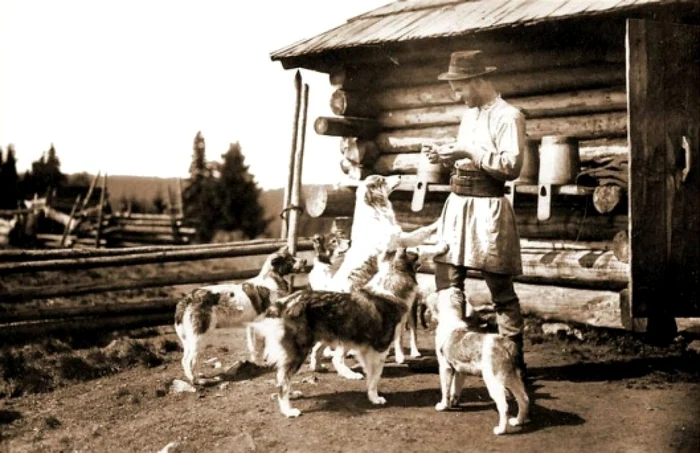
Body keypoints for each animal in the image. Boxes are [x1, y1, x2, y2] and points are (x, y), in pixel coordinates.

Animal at [173, 245, 304, 384]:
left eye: (292, 257)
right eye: (289, 260)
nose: (305, 261)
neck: (271, 280)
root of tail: (187, 299)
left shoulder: (251, 326)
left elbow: (253, 347)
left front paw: (258, 363)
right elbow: (260, 346)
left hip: (190, 339)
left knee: (186, 359)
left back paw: (197, 377)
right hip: (200, 336)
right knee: (189, 360)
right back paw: (197, 381)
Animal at [249, 247, 418, 416]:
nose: (418, 251)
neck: (388, 289)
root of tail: (282, 304)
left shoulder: (366, 350)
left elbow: (370, 377)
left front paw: (370, 395)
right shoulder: (379, 350)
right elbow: (375, 377)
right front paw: (376, 399)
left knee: (283, 376)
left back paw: (293, 394)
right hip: (298, 351)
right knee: (283, 381)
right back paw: (288, 410)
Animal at [426, 290, 532, 434]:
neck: (451, 318)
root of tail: (506, 345)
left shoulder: (445, 367)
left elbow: (445, 390)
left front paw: (443, 406)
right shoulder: (460, 371)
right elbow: (455, 389)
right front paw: (454, 403)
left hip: (494, 380)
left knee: (504, 405)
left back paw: (500, 430)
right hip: (512, 377)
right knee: (523, 398)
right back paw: (517, 421)